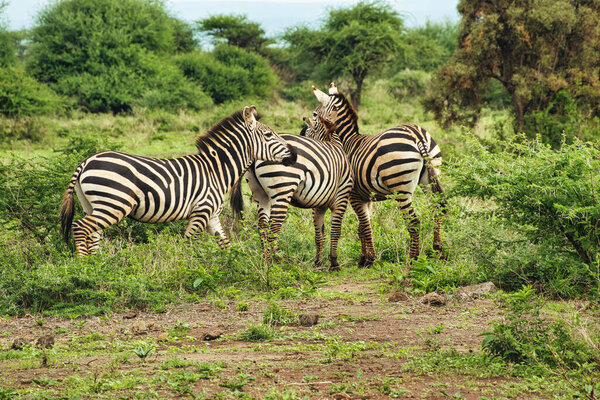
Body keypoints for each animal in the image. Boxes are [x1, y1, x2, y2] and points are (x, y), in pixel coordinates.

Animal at [58, 107, 298, 256]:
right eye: (268, 135)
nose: (294, 155)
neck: (216, 170)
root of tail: (85, 161)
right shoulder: (201, 210)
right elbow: (189, 242)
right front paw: (187, 270)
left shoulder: (213, 216)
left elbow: (226, 244)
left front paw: (237, 266)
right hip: (113, 203)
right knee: (80, 227)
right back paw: (84, 266)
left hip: (93, 204)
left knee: (92, 233)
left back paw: (97, 267)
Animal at [229, 108, 352, 270]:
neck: (333, 143)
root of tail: (255, 152)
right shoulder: (342, 195)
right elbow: (336, 230)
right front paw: (334, 262)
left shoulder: (318, 203)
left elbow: (320, 234)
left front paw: (318, 262)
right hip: (282, 188)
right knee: (274, 227)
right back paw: (278, 263)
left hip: (260, 193)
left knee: (262, 226)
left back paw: (267, 262)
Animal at [304, 83, 446, 268]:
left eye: (315, 115)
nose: (303, 134)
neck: (345, 141)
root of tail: (417, 135)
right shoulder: (366, 197)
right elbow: (362, 227)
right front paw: (363, 259)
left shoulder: (353, 194)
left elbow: (365, 226)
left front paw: (370, 258)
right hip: (430, 177)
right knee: (437, 209)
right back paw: (438, 251)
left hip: (401, 187)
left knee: (413, 221)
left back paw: (414, 259)